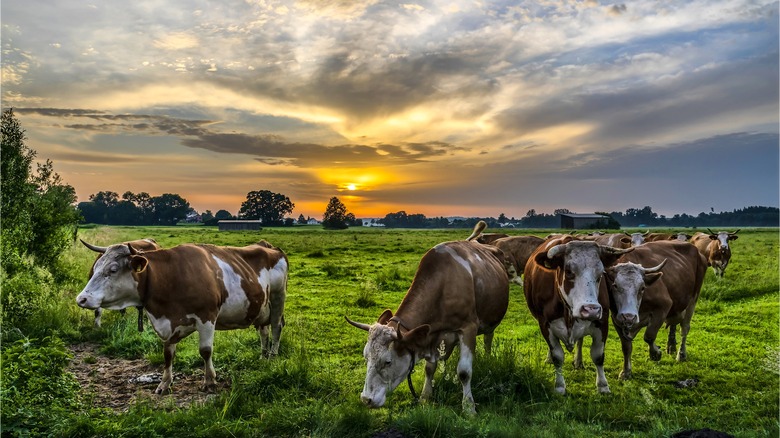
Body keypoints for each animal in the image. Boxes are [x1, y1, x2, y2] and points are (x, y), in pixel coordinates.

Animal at [75, 241, 290, 396]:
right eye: (95, 268)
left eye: (112, 270)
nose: (81, 299)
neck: (171, 277)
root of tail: (269, 246)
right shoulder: (167, 324)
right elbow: (168, 354)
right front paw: (164, 384)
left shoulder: (207, 317)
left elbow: (205, 351)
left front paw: (209, 381)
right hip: (261, 307)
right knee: (263, 330)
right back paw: (262, 355)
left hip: (278, 297)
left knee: (276, 327)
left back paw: (272, 356)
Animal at [520, 234, 632, 396]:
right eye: (568, 271)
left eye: (600, 274)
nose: (591, 309)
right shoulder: (544, 324)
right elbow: (557, 356)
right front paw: (559, 386)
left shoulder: (602, 322)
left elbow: (598, 356)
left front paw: (603, 385)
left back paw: (578, 361)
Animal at [608, 241, 708, 378]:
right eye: (615, 286)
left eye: (642, 287)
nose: (629, 316)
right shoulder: (616, 318)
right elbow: (626, 346)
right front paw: (626, 372)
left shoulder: (663, 307)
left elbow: (649, 336)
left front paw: (655, 353)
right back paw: (671, 346)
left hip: (693, 298)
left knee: (684, 329)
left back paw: (681, 354)